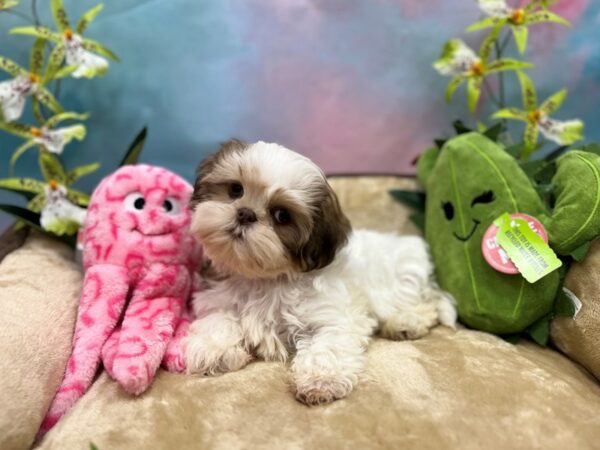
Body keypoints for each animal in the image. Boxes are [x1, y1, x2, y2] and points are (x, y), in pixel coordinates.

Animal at [185, 140, 458, 404]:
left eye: (282, 215)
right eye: (235, 190)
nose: (245, 213)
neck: (265, 278)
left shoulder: (330, 314)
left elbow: (329, 341)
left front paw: (322, 379)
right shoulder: (217, 300)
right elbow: (219, 320)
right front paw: (213, 348)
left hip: (398, 279)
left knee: (423, 303)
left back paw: (407, 321)